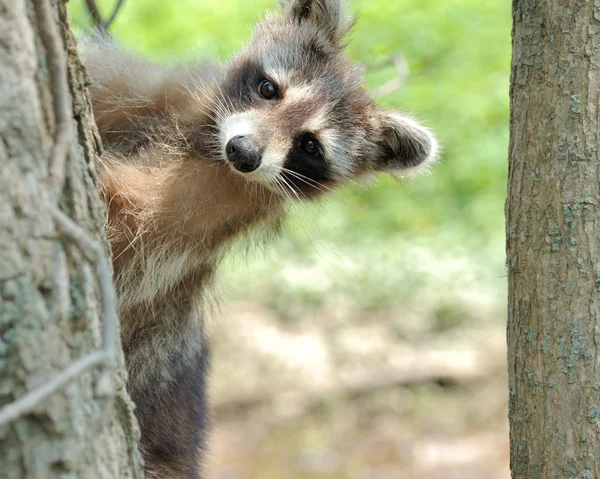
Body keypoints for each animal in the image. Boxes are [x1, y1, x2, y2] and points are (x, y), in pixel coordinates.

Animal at [83, 0, 436, 479]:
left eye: (310, 146)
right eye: (270, 89)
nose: (244, 152)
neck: (206, 139)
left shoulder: (198, 212)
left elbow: (128, 229)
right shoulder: (159, 94)